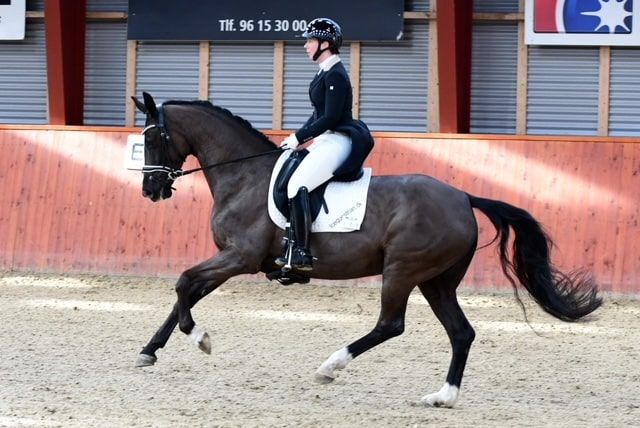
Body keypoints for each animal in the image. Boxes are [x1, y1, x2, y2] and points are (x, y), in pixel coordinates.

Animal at [131, 92, 601, 408]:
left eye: (153, 138)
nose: (151, 190)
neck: (244, 176)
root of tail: (464, 197)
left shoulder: (238, 258)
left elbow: (183, 284)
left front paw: (201, 339)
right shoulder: (231, 259)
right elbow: (186, 293)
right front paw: (149, 351)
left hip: (402, 271)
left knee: (391, 324)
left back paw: (330, 366)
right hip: (437, 281)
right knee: (461, 332)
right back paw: (442, 396)